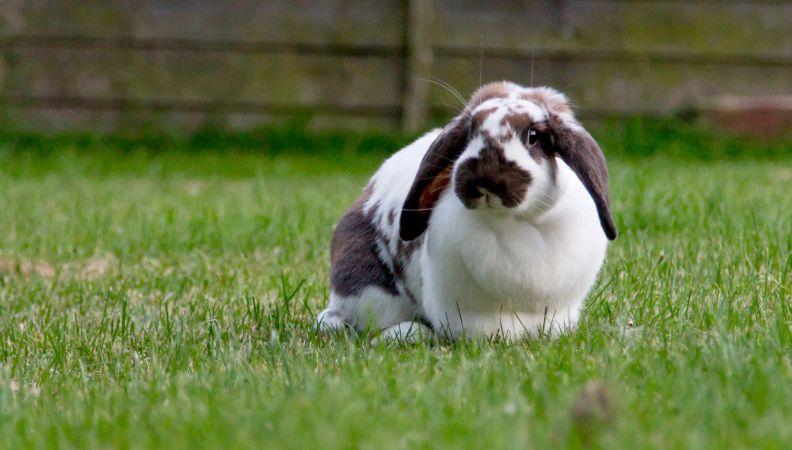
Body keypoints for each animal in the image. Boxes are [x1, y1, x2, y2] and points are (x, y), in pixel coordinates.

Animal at [317, 81, 617, 341]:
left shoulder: (559, 308)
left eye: (533, 136)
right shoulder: (462, 309)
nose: (485, 175)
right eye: (471, 132)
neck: (519, 222)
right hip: (370, 291)